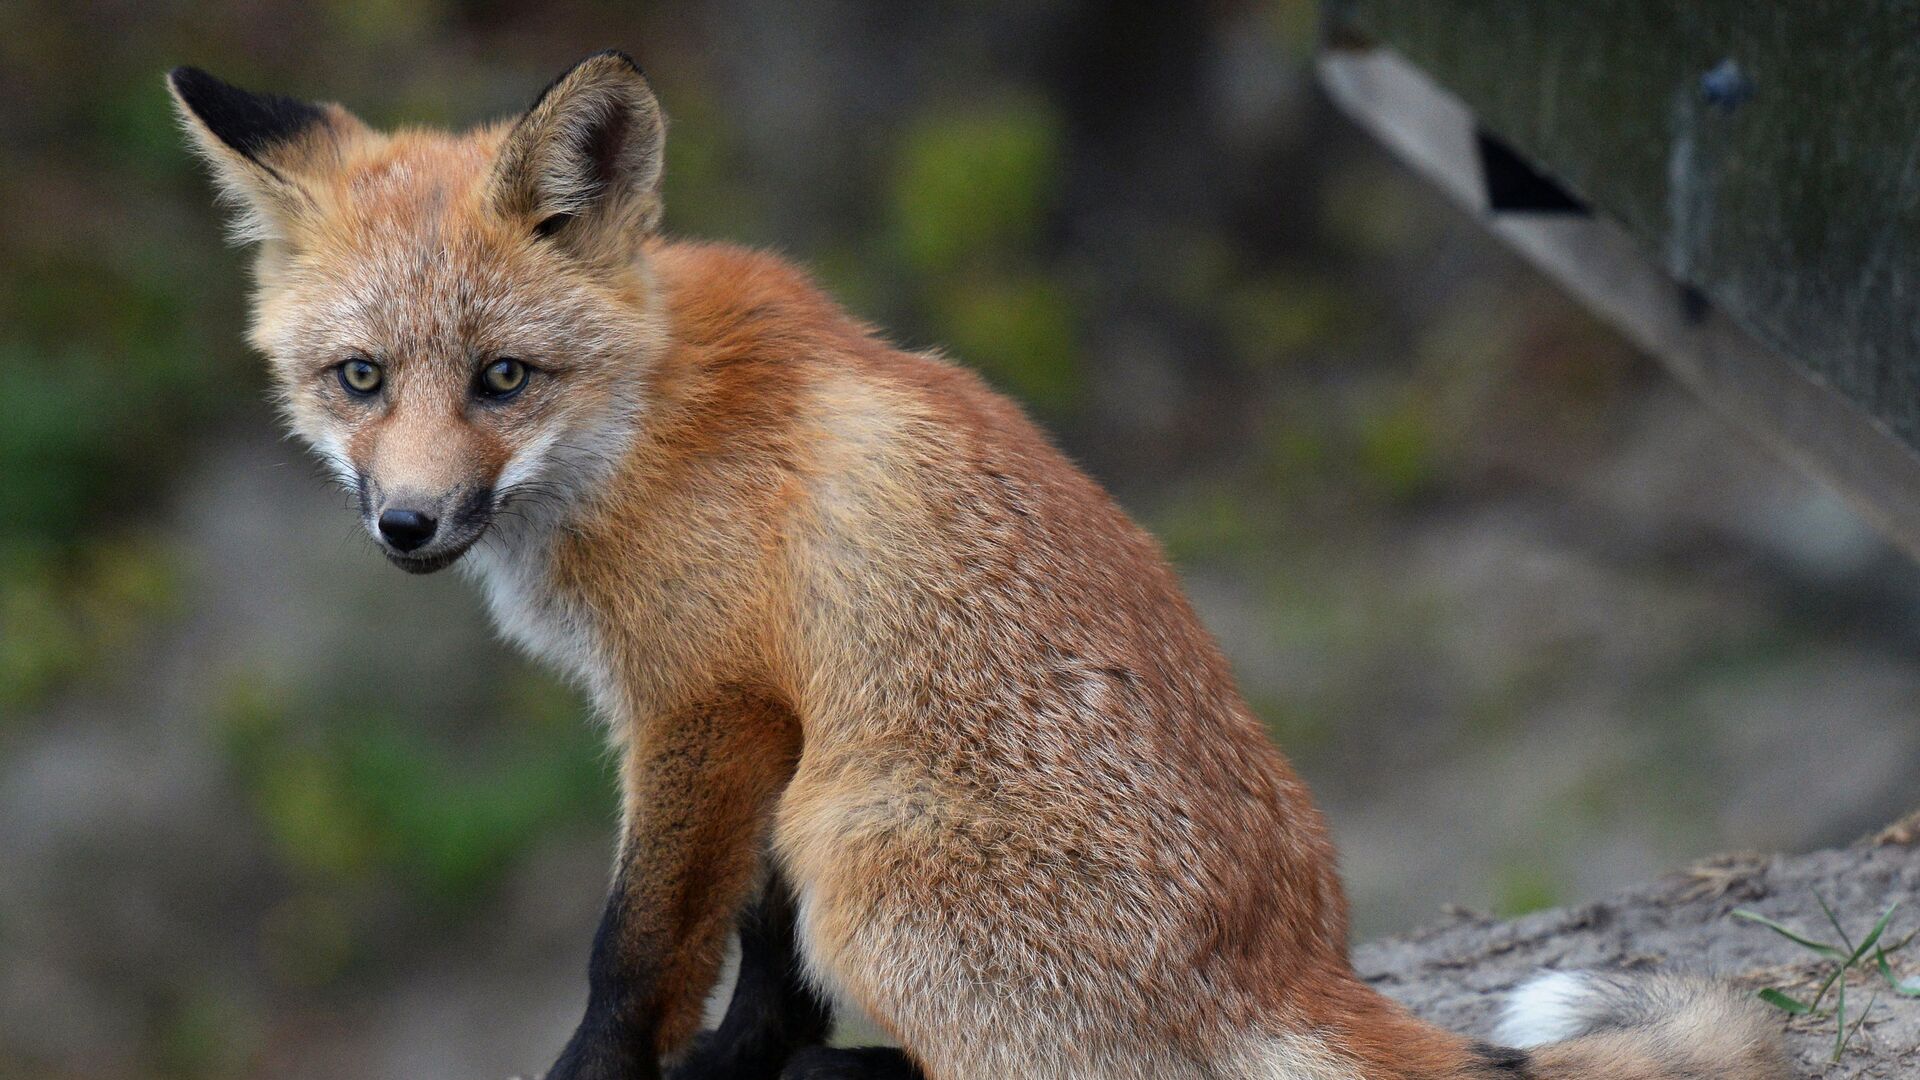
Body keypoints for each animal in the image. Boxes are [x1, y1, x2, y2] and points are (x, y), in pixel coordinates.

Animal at [172, 50, 1789, 1076]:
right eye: (360, 380)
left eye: (503, 379)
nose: (408, 526)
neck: (643, 426)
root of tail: (1291, 962)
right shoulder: (773, 726)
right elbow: (768, 979)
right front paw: (747, 1069)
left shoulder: (710, 707)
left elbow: (634, 955)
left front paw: (616, 1076)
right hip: (837, 820)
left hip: (863, 848)